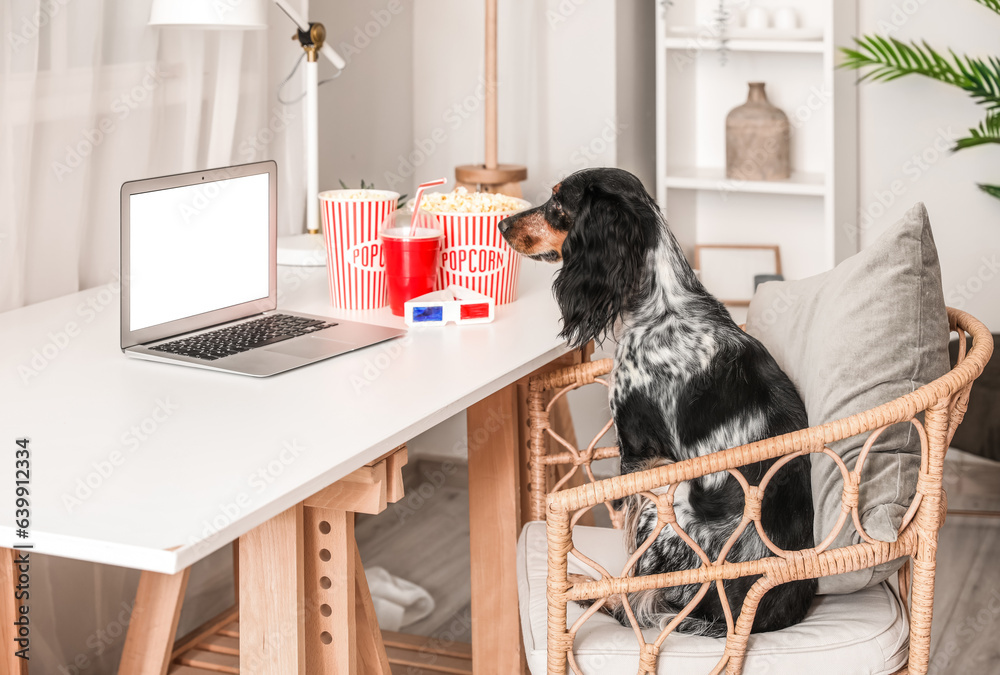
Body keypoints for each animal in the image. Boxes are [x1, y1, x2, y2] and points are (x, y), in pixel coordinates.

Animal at [496, 169, 816, 640]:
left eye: (557, 203)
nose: (502, 224)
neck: (662, 307)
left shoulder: (640, 453)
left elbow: (632, 568)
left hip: (670, 495)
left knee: (640, 598)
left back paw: (587, 586)